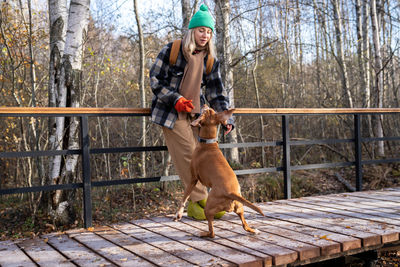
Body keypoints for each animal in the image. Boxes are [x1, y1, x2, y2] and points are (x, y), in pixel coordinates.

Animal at [174, 105, 262, 239]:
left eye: (206, 110)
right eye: (212, 110)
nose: (204, 104)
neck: (208, 143)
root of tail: (231, 193)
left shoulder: (193, 179)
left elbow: (185, 196)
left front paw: (178, 214)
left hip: (208, 209)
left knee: (212, 233)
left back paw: (201, 233)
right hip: (240, 208)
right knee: (245, 226)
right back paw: (254, 230)